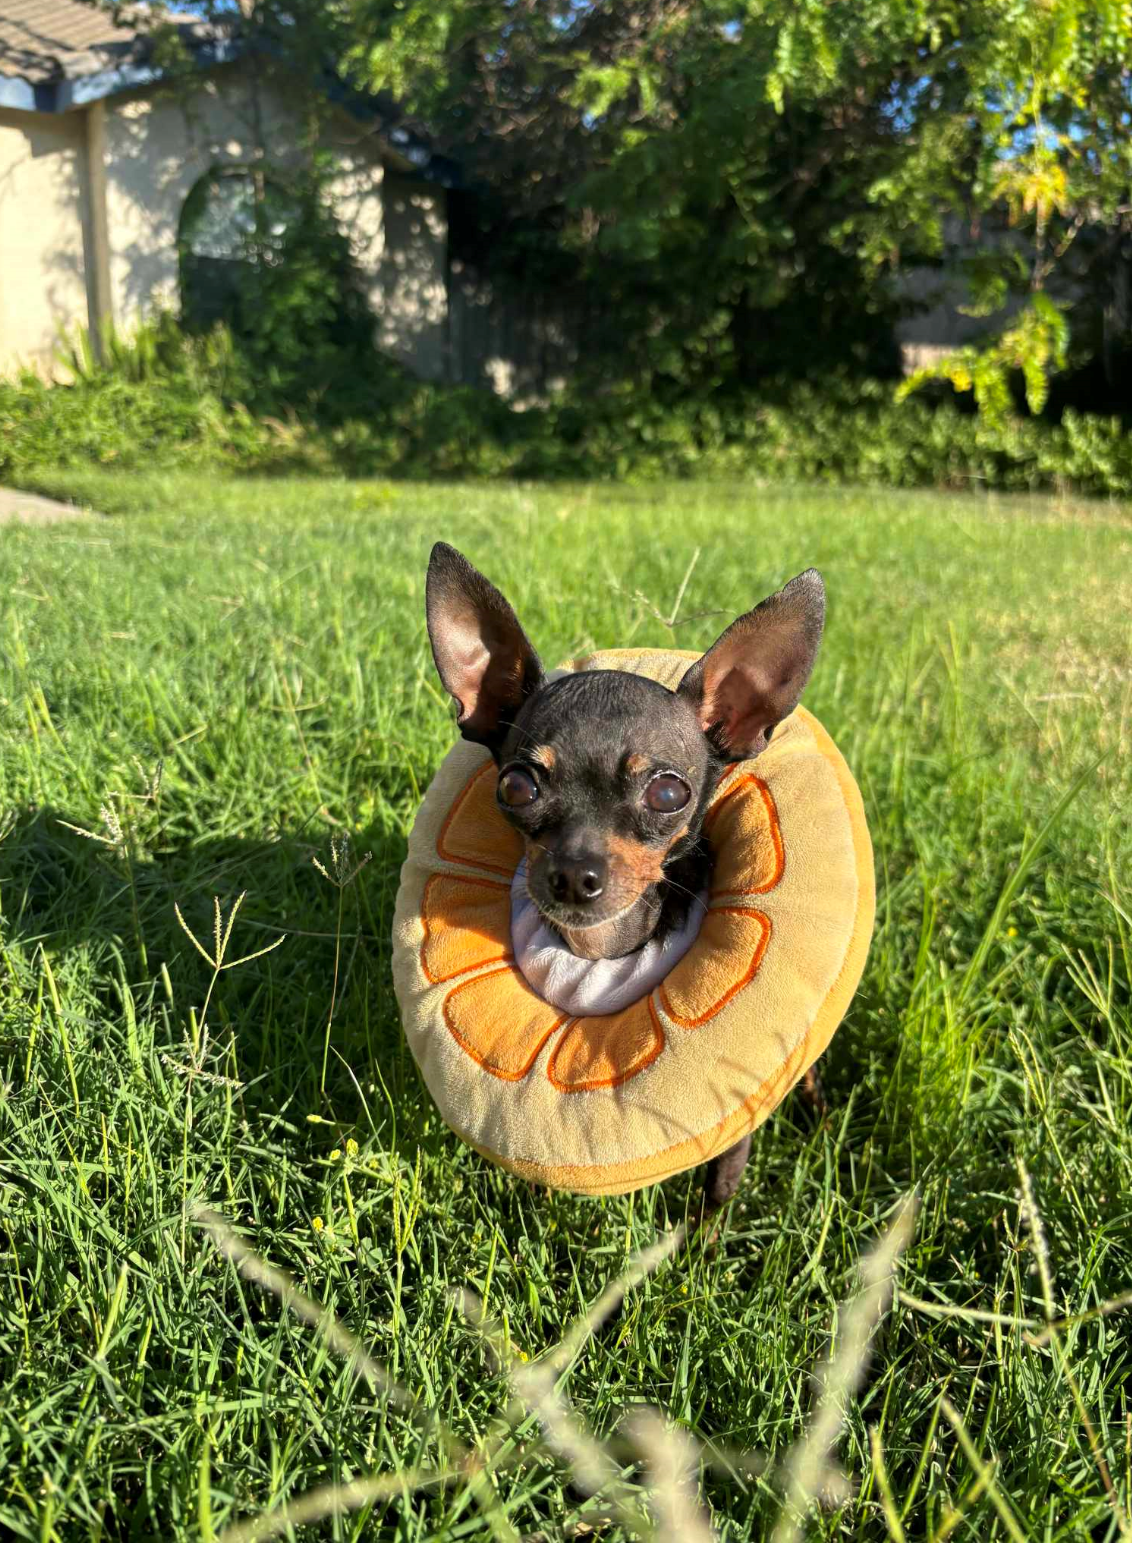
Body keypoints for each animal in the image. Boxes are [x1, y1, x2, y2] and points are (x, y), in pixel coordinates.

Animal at [422, 543, 826, 1215]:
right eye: (516, 786)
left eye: (668, 793)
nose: (572, 875)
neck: (600, 949)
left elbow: (718, 1190)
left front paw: (699, 1239)